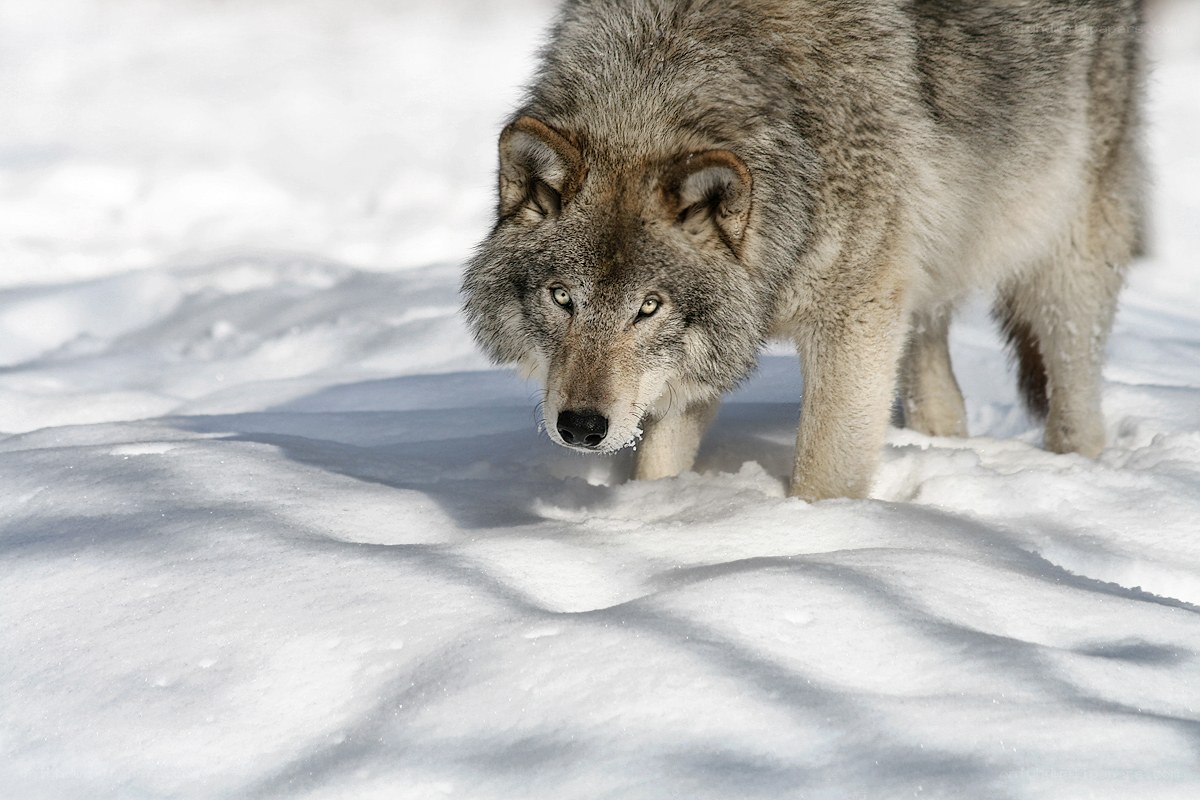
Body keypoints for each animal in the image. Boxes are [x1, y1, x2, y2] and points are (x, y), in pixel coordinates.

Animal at [462, 0, 1144, 501]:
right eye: (562, 297)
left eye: (648, 307)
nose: (581, 427)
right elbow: (659, 459)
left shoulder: (853, 320)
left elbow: (824, 473)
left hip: (1065, 257)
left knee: (1076, 395)